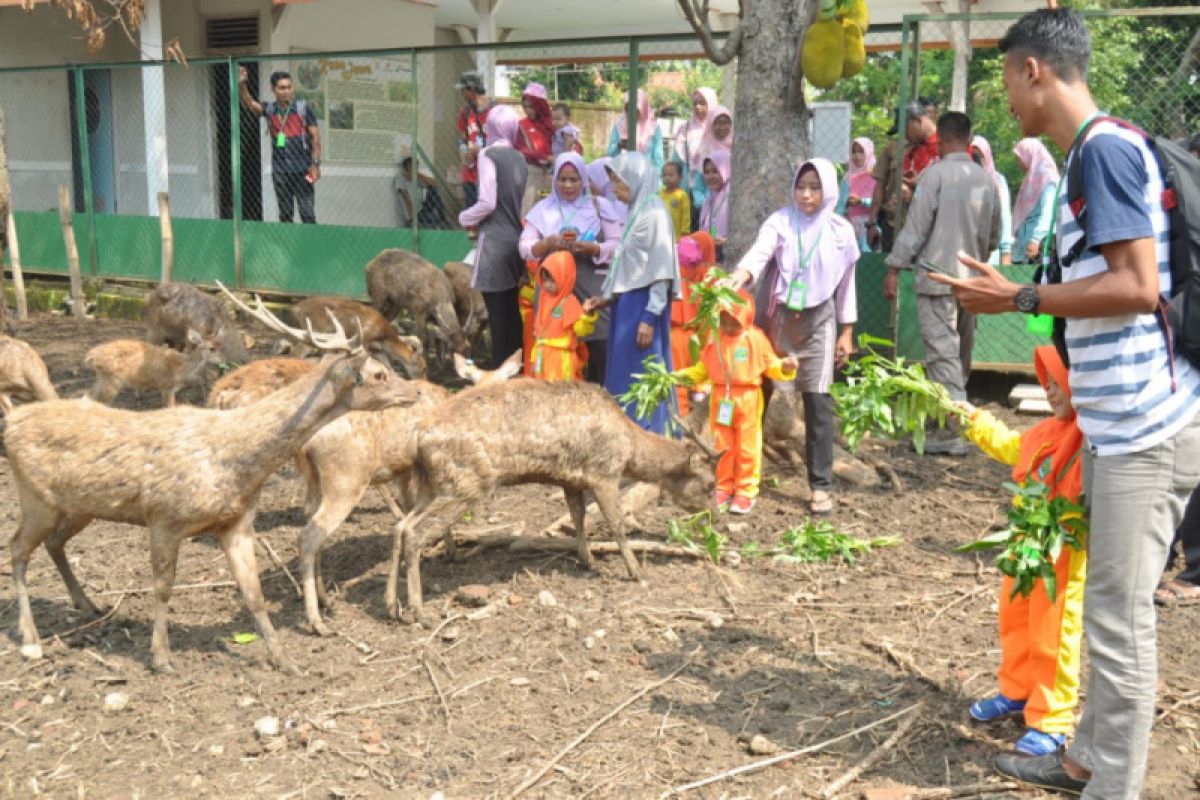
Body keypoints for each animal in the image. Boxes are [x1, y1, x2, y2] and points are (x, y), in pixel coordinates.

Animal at [87, 331, 225, 410]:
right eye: (211, 348)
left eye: (220, 345)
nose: (222, 361)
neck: (182, 368)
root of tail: (91, 356)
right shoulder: (166, 386)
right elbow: (170, 408)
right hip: (112, 380)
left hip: (102, 378)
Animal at [288, 296, 424, 381]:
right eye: (423, 368)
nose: (424, 380)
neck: (383, 336)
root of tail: (296, 308)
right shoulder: (363, 340)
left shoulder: (377, 350)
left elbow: (389, 368)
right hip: (315, 329)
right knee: (296, 352)